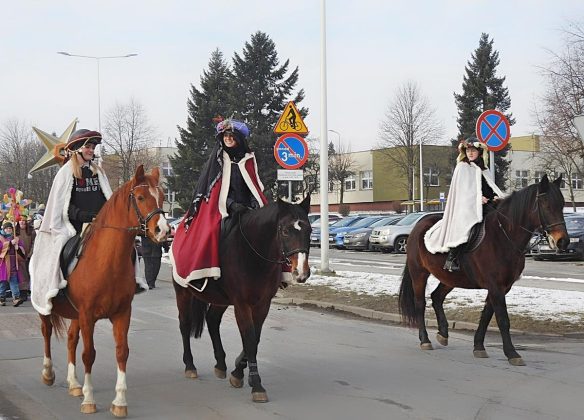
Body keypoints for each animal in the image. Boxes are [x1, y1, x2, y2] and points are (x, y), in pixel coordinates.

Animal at [38, 165, 169, 417]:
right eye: (140, 197)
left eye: (162, 196)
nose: (163, 231)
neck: (107, 262)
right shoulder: (88, 315)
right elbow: (89, 354)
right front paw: (89, 400)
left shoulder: (121, 314)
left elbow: (121, 352)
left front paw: (119, 402)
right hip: (45, 306)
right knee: (47, 332)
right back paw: (48, 373)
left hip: (75, 314)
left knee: (71, 339)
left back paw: (74, 384)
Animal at [173, 195, 311, 403]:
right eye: (286, 231)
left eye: (309, 229)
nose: (301, 273)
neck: (253, 254)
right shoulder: (241, 304)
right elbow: (250, 339)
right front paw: (256, 384)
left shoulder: (262, 304)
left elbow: (255, 338)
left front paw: (238, 370)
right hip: (183, 291)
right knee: (185, 324)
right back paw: (190, 365)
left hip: (221, 299)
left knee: (212, 320)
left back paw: (220, 364)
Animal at [399, 174, 569, 366]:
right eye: (546, 205)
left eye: (562, 205)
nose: (563, 241)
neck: (503, 236)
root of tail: (417, 225)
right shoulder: (495, 286)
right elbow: (502, 319)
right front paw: (512, 353)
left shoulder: (502, 287)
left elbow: (487, 315)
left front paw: (479, 346)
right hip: (419, 273)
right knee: (420, 303)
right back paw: (425, 340)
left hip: (450, 278)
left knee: (436, 297)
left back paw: (443, 333)